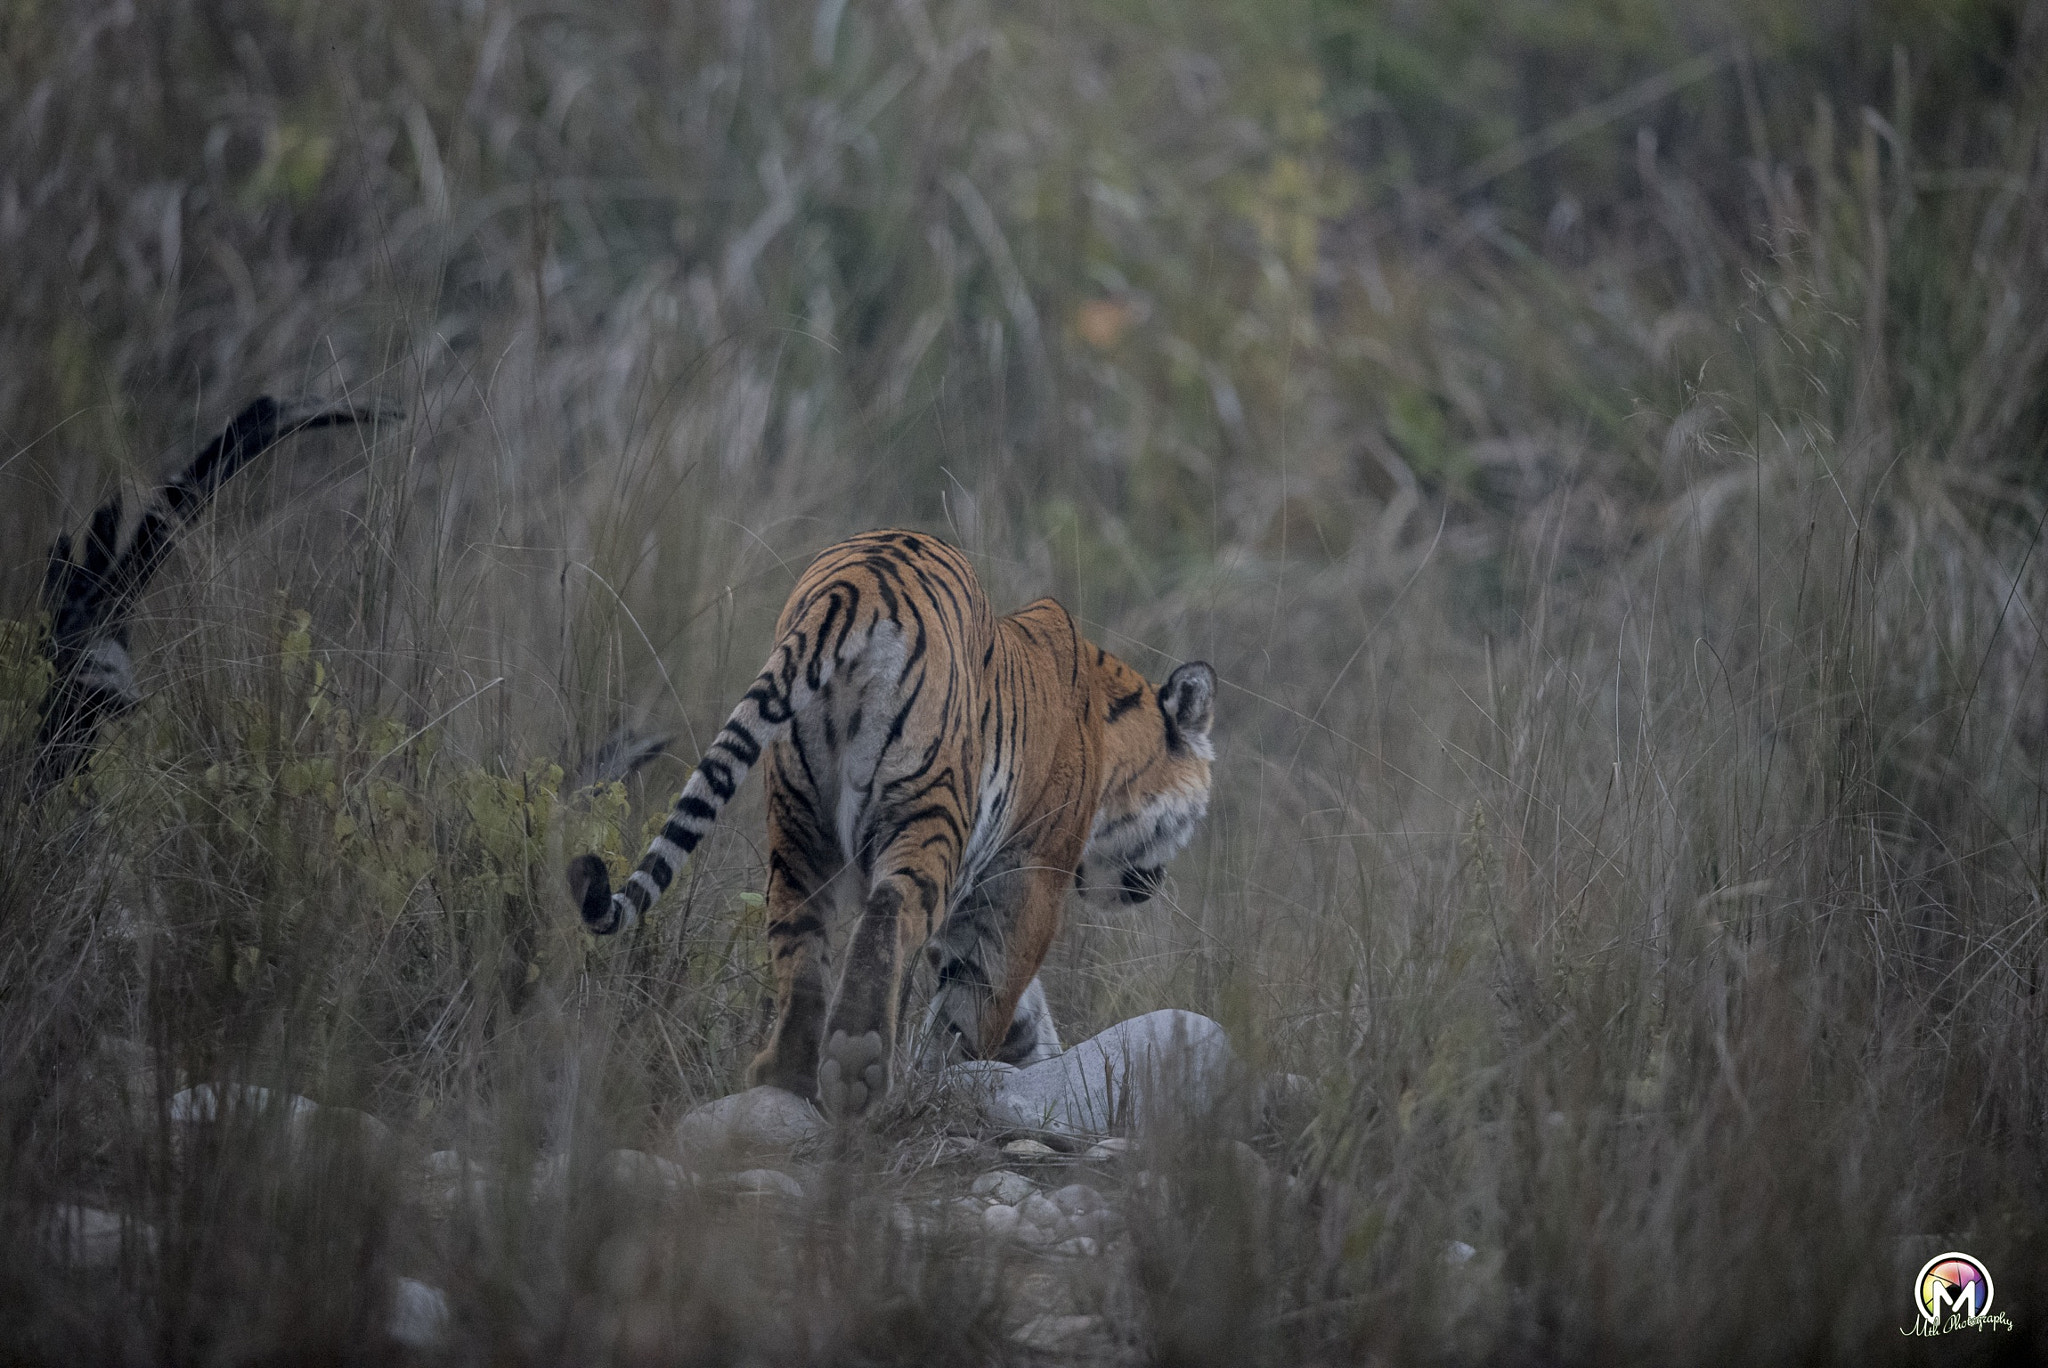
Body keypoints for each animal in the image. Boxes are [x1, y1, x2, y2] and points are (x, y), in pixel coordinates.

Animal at [565, 528, 1212, 1114]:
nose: (1154, 885)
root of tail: (855, 585)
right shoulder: (1027, 878)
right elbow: (988, 995)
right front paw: (953, 1074)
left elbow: (1008, 1001)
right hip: (929, 805)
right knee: (889, 908)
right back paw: (859, 1067)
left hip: (797, 818)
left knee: (800, 935)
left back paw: (788, 1072)